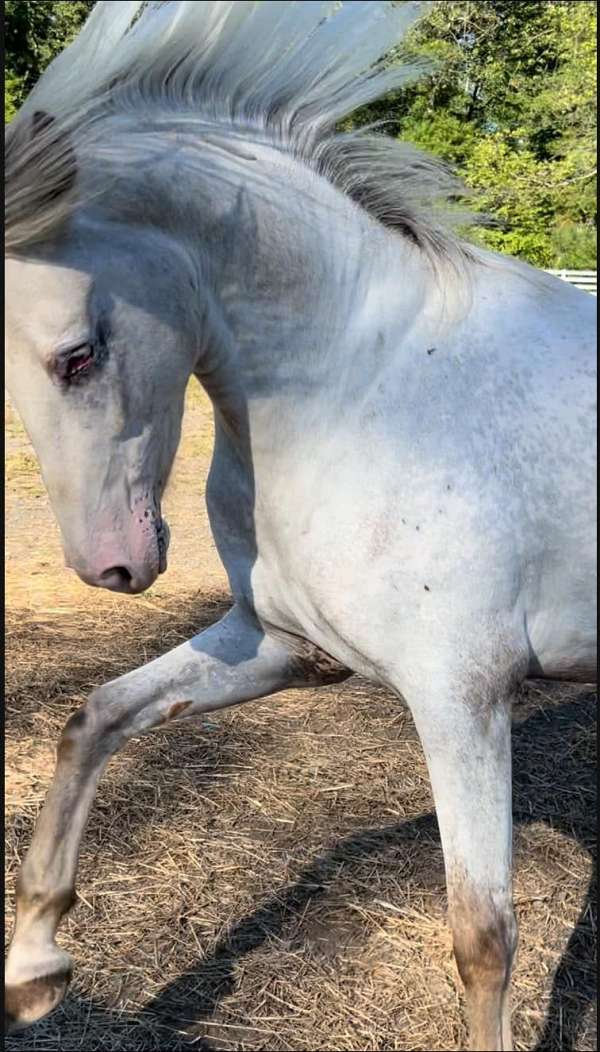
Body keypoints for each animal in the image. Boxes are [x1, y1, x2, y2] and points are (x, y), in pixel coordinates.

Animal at [3, 4, 593, 1047]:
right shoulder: (281, 646)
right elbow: (94, 719)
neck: (363, 389)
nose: (112, 569)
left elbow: (483, 937)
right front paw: (34, 968)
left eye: (76, 357)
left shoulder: (462, 696)